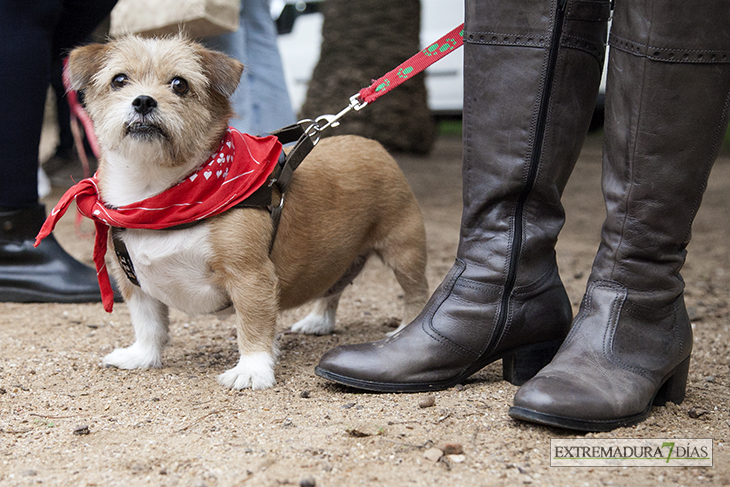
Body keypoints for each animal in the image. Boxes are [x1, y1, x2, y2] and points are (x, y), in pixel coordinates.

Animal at [65, 35, 430, 388]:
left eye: (180, 84)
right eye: (119, 80)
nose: (143, 101)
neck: (156, 197)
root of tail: (372, 144)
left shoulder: (250, 277)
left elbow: (253, 327)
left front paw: (253, 369)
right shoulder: (134, 283)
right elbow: (148, 325)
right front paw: (141, 355)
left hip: (404, 252)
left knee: (416, 292)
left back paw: (404, 329)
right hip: (336, 257)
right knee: (332, 287)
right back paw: (318, 320)